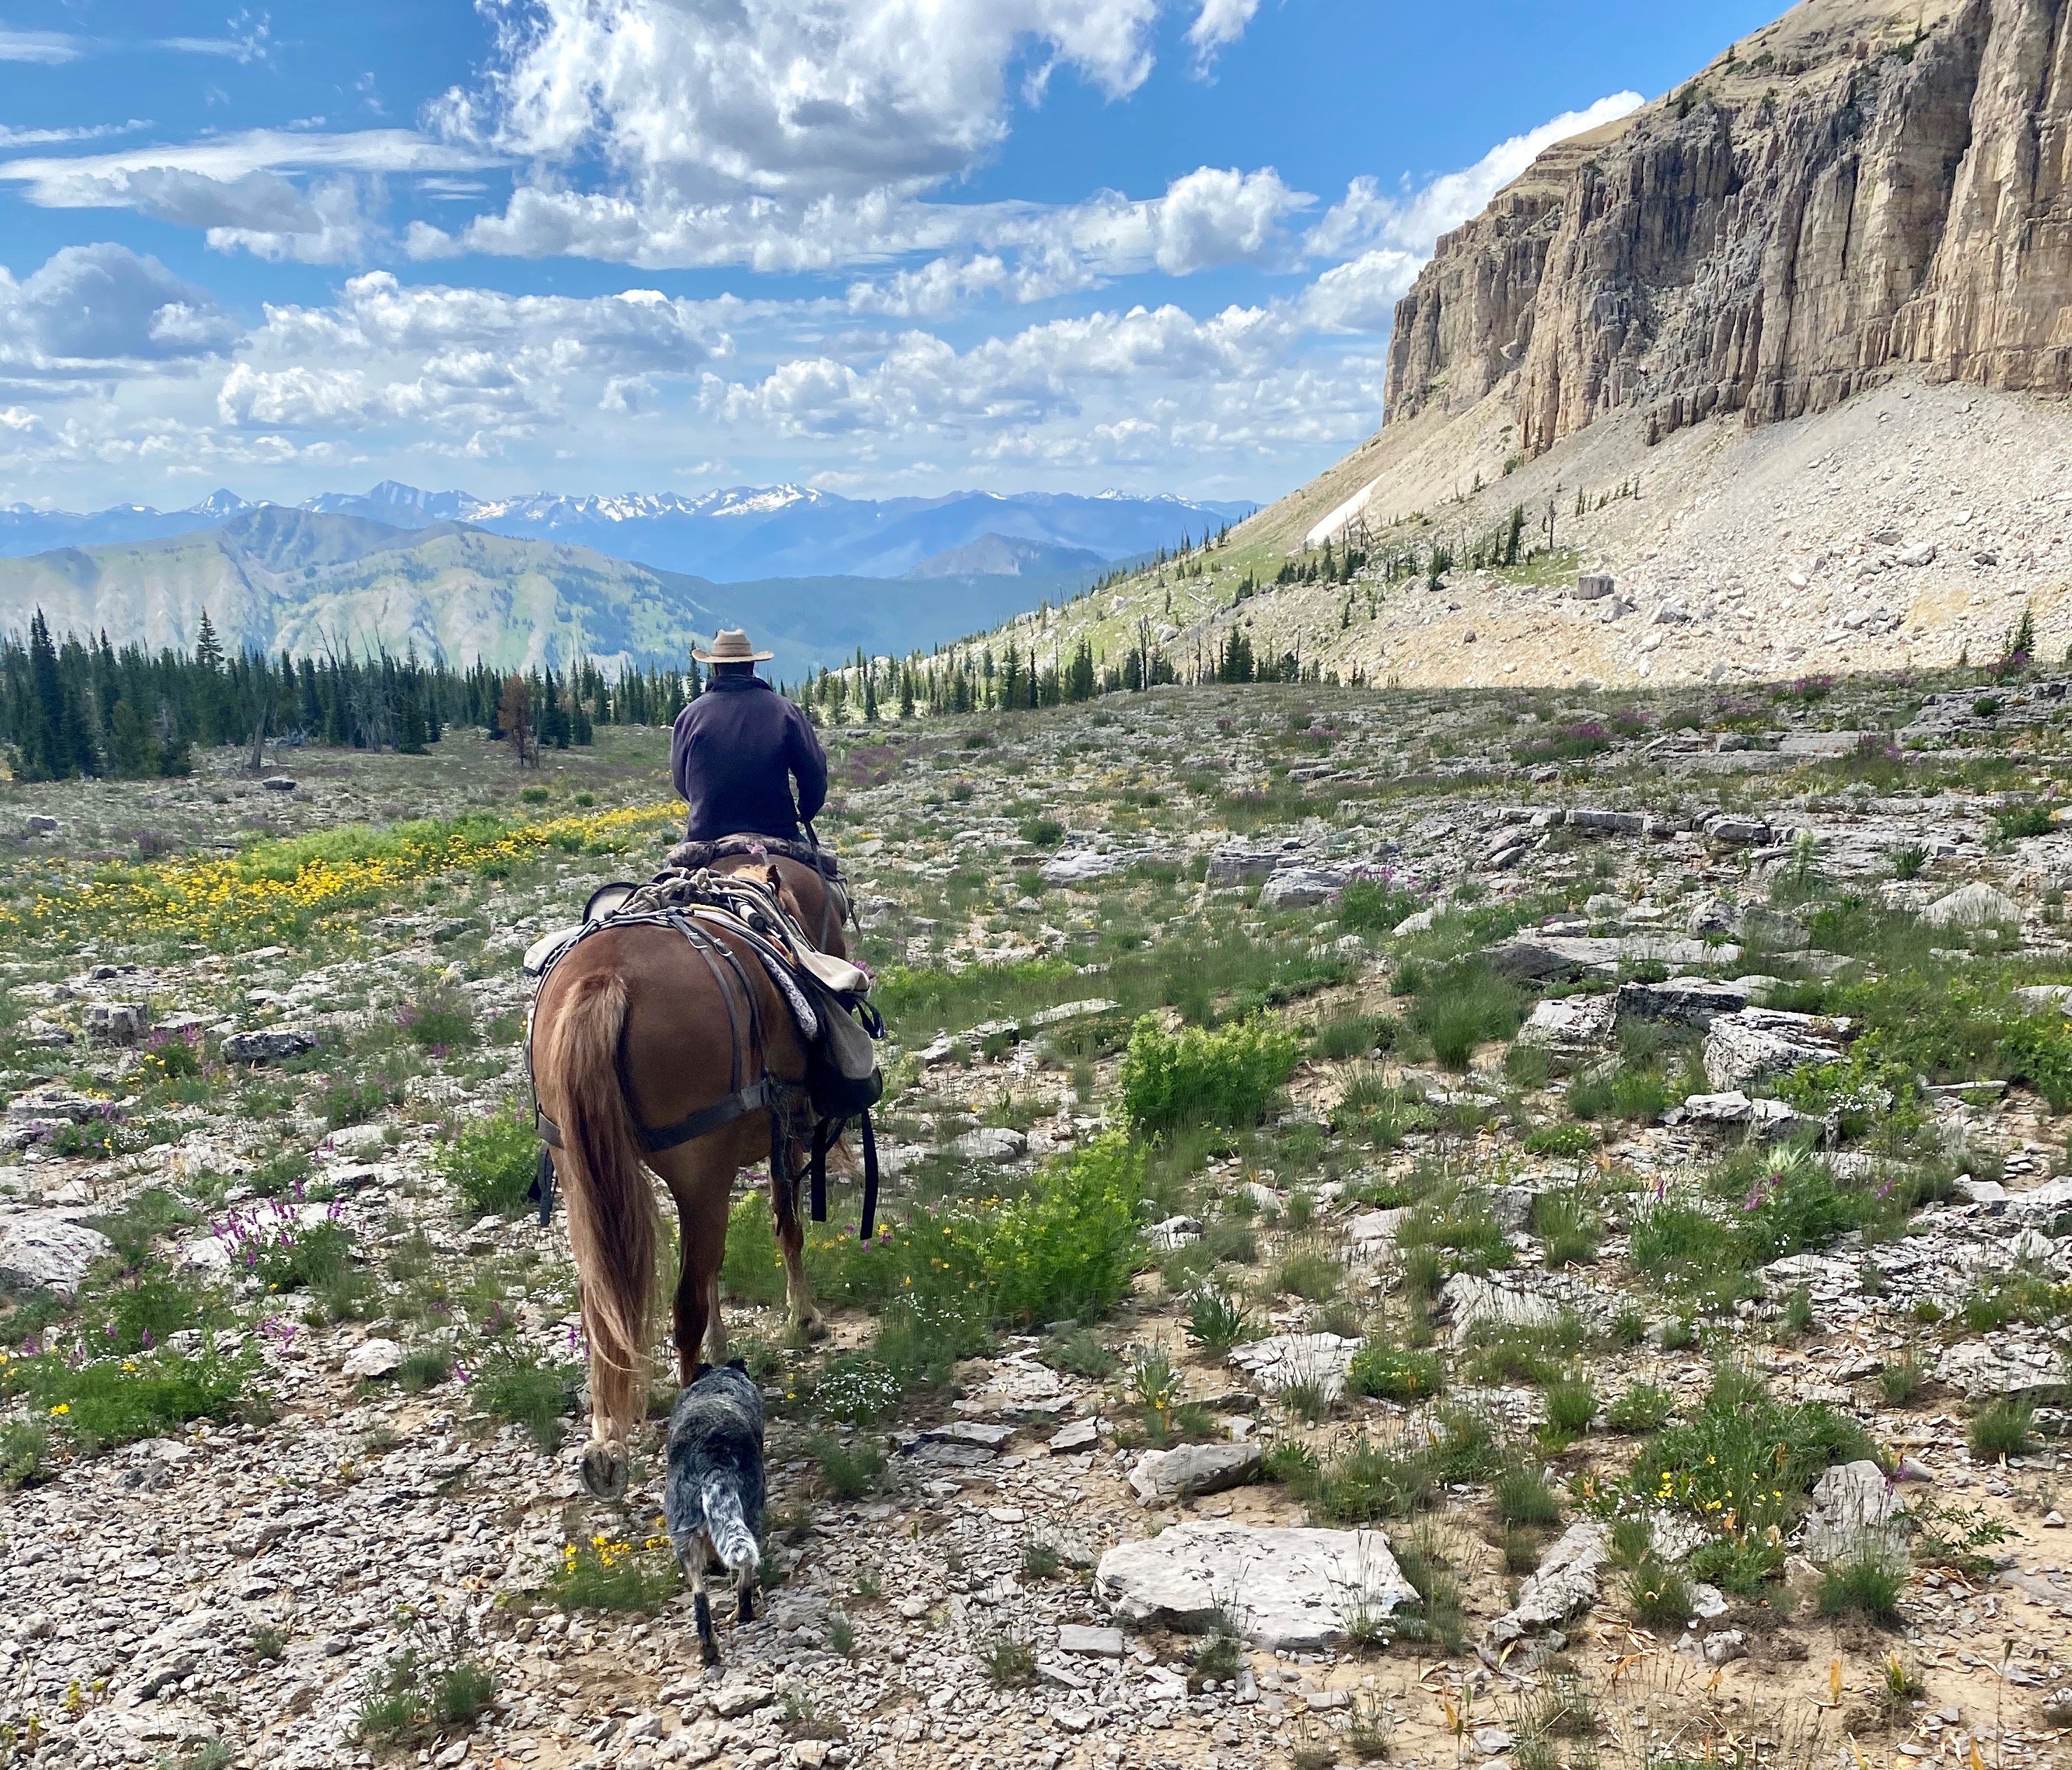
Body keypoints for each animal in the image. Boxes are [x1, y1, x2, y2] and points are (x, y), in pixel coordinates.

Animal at [658, 1367, 766, 1666]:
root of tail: (713, 1462)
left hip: (682, 1531)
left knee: (700, 1595)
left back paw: (709, 1646)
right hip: (752, 1514)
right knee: (744, 1577)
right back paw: (742, 1614)